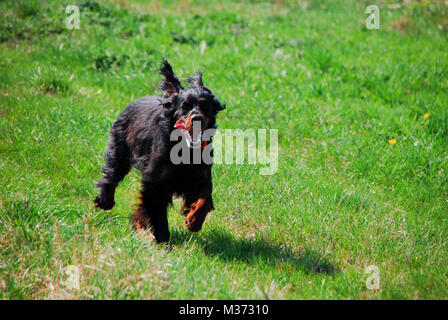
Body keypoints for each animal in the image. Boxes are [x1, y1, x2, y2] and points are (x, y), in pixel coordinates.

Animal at [96, 60, 226, 244]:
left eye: (205, 105)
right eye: (185, 106)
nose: (197, 118)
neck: (184, 148)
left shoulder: (200, 175)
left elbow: (205, 198)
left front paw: (194, 220)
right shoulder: (155, 180)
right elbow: (157, 212)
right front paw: (163, 240)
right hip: (119, 151)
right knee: (111, 176)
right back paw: (106, 201)